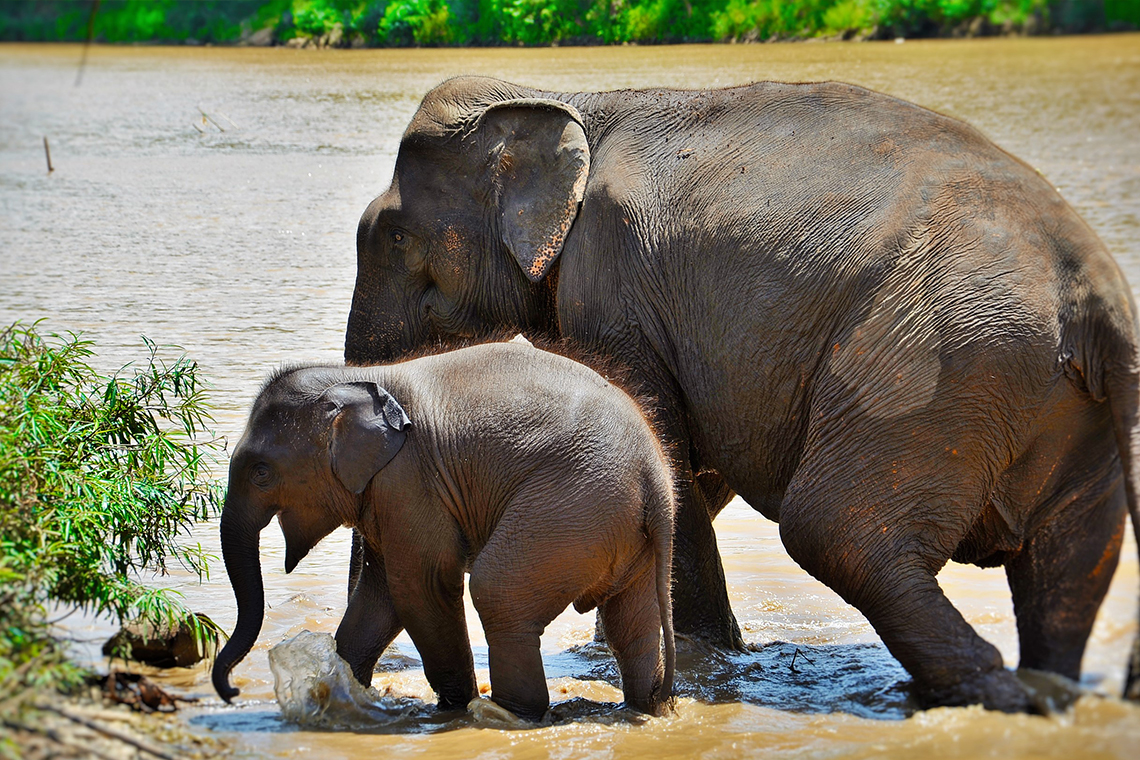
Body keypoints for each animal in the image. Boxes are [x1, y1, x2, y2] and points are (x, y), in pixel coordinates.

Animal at [210, 341, 676, 721]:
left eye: (261, 472)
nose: (232, 692)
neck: (356, 377)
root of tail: (655, 474)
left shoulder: (410, 478)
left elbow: (421, 586)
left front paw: (452, 707)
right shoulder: (389, 492)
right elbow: (381, 592)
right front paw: (342, 688)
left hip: (571, 506)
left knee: (496, 592)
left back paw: (509, 714)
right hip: (616, 526)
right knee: (630, 625)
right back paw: (646, 706)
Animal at [343, 76, 1140, 711]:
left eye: (392, 237)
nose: (361, 680)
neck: (573, 100)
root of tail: (1097, 287)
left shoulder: (613, 290)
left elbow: (669, 450)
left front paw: (700, 655)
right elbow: (697, 468)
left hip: (938, 362)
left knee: (834, 528)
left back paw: (993, 697)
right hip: (1057, 404)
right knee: (1071, 564)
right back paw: (1038, 693)